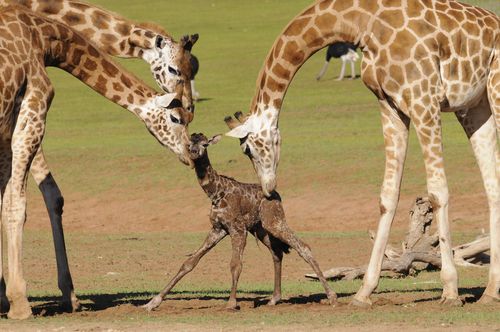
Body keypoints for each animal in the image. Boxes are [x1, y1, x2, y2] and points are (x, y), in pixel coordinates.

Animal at [143, 132, 336, 312]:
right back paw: (274, 299)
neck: (216, 193)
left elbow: (235, 264)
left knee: (303, 247)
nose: (194, 152)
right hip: (261, 228)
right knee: (277, 253)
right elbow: (189, 262)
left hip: (275, 221)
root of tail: (277, 195)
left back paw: (331, 296)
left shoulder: (237, 228)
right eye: (189, 144)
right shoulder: (218, 229)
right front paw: (153, 302)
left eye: (205, 144)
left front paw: (231, 302)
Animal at [225, 0, 498, 306]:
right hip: (476, 106)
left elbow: (438, 192)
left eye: (248, 149)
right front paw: (364, 292)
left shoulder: (423, 100)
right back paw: (490, 292)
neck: (362, 23)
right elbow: (387, 197)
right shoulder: (390, 104)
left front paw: (450, 291)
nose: (268, 189)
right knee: (493, 186)